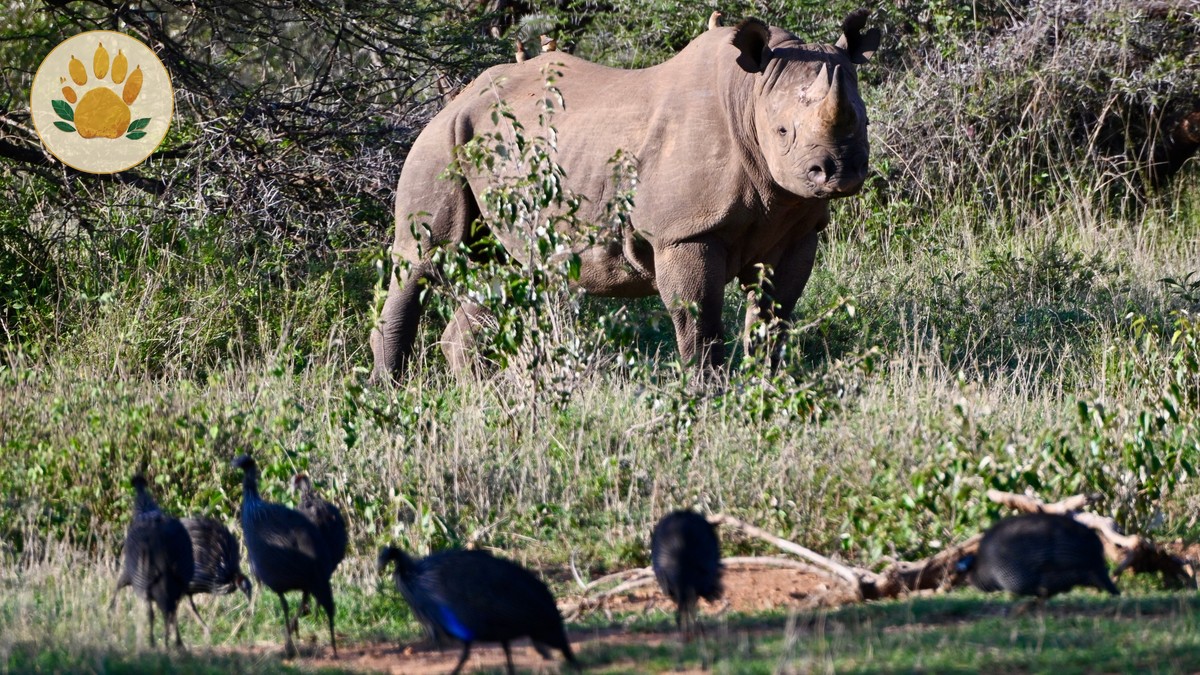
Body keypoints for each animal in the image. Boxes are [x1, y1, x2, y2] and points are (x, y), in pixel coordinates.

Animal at [370, 10, 880, 382]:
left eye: (864, 121)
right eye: (783, 131)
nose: (838, 172)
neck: (749, 95)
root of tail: (455, 98)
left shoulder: (798, 230)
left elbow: (775, 315)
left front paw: (766, 386)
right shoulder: (684, 232)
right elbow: (699, 320)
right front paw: (707, 393)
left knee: (507, 268)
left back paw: (479, 392)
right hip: (442, 141)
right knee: (424, 255)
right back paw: (389, 391)